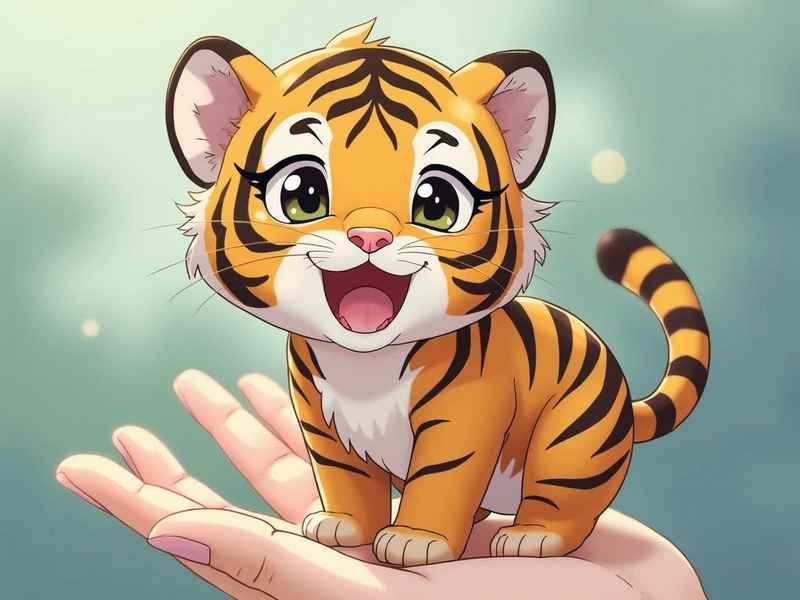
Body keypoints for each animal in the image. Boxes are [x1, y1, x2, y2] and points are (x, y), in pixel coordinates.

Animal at [165, 19, 710, 567]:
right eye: (303, 194)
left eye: (436, 203)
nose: (370, 237)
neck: (363, 366)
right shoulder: (319, 417)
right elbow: (344, 475)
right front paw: (345, 525)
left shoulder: (465, 417)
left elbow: (441, 478)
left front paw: (416, 540)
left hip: (572, 443)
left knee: (564, 504)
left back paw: (533, 536)